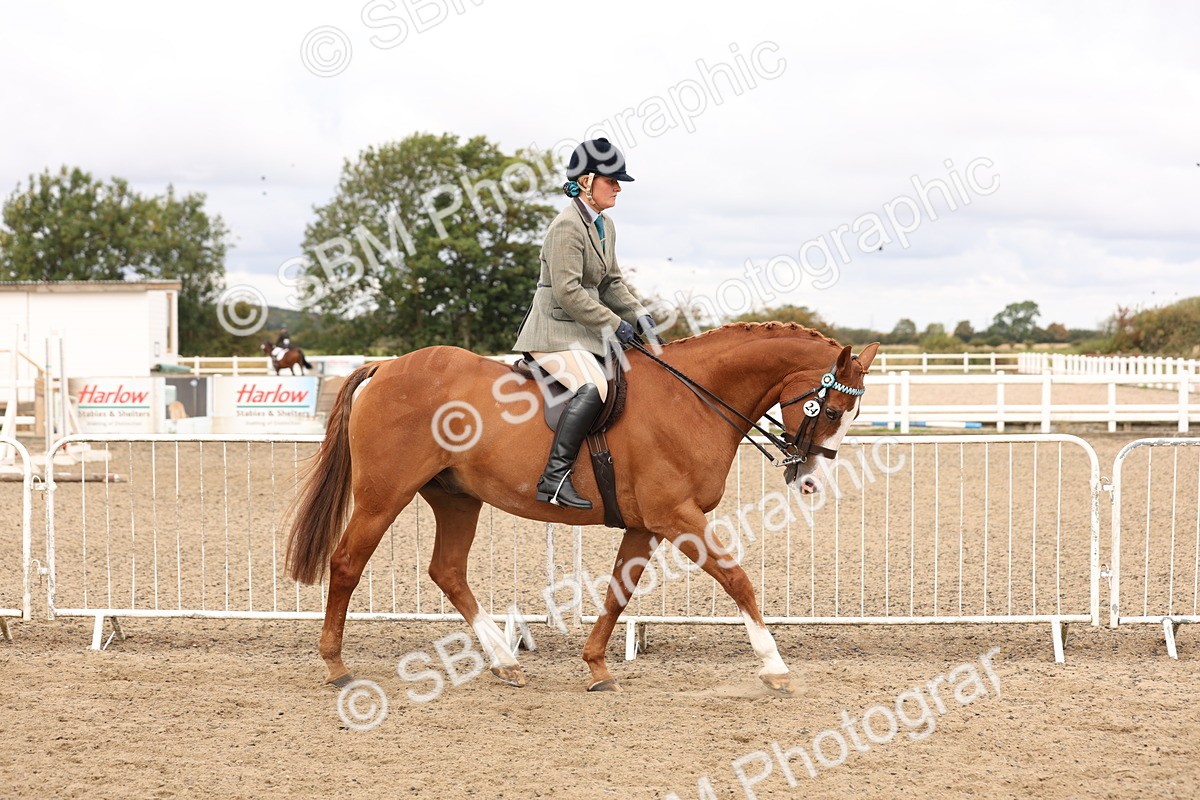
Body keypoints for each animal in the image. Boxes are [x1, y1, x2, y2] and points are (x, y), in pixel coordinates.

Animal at [285, 322, 879, 694]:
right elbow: (737, 579)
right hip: (384, 495)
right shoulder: (678, 517)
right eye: (831, 410)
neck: (692, 399)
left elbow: (619, 591)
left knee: (448, 571)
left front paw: (596, 667)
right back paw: (336, 665)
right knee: (347, 564)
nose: (810, 480)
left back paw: (504, 662)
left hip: (457, 498)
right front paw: (775, 666)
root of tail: (386, 367)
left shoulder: (648, 524)